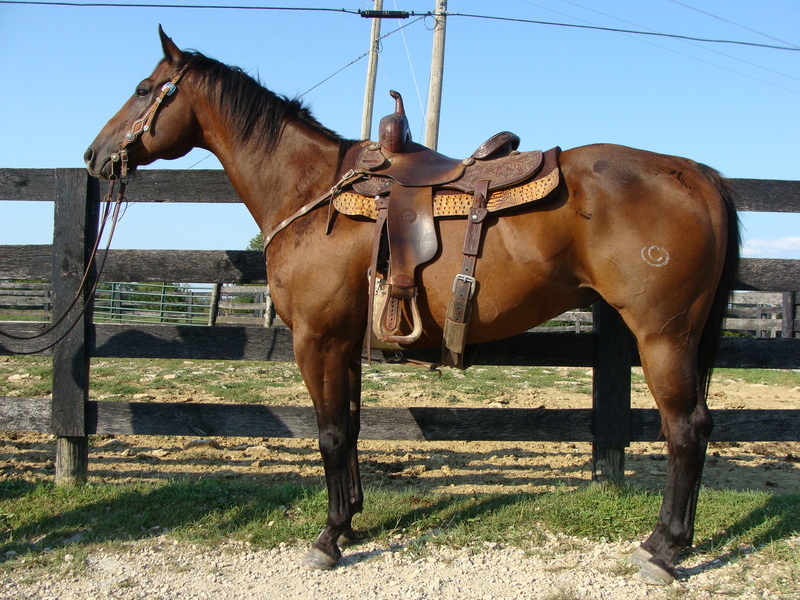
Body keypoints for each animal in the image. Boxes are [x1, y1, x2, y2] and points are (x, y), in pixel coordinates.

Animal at [85, 27, 740, 585]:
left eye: (142, 89)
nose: (94, 156)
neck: (311, 191)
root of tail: (694, 174)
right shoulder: (344, 345)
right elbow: (349, 429)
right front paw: (350, 518)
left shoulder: (317, 341)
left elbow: (328, 434)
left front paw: (328, 538)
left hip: (663, 337)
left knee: (687, 429)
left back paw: (664, 549)